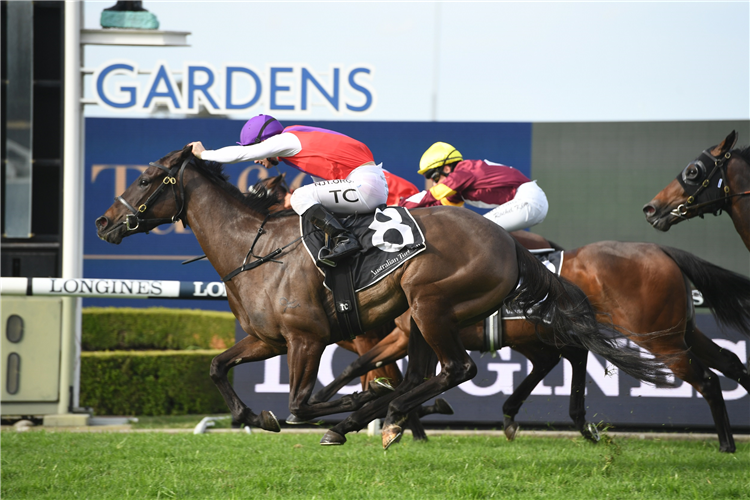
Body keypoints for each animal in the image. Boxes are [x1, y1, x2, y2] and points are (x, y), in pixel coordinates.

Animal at [97, 148, 668, 450]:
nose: (104, 222)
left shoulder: (307, 339)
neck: (256, 249)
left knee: (466, 367)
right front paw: (256, 417)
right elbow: (217, 367)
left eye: (147, 178)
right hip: (439, 319)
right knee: (530, 359)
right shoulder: (267, 340)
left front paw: (351, 410)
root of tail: (510, 244)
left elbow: (305, 402)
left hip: (429, 304)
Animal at [306, 241, 750, 454]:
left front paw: (337, 411)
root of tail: (660, 249)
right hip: (677, 330)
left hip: (658, 336)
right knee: (729, 362)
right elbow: (374, 374)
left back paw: (727, 444)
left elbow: (376, 373)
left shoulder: (406, 333)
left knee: (707, 378)